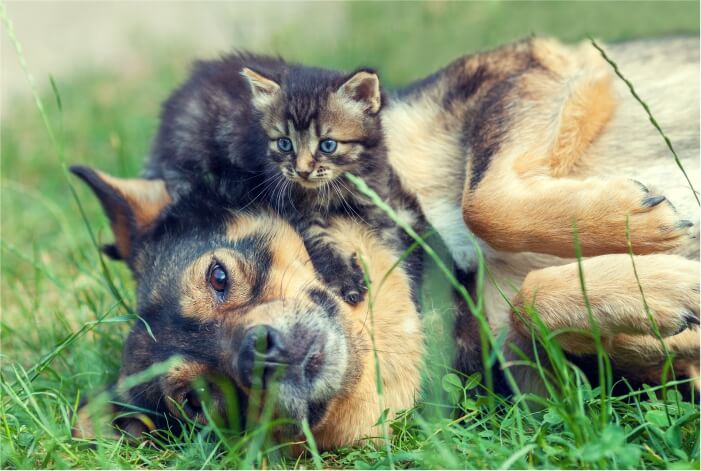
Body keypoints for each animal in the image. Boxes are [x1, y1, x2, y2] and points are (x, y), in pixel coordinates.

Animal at [144, 53, 418, 304]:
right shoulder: (296, 208)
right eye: (285, 144)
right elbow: (322, 244)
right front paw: (345, 279)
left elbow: (391, 244)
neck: (335, 185)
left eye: (328, 145)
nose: (302, 170)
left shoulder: (376, 199)